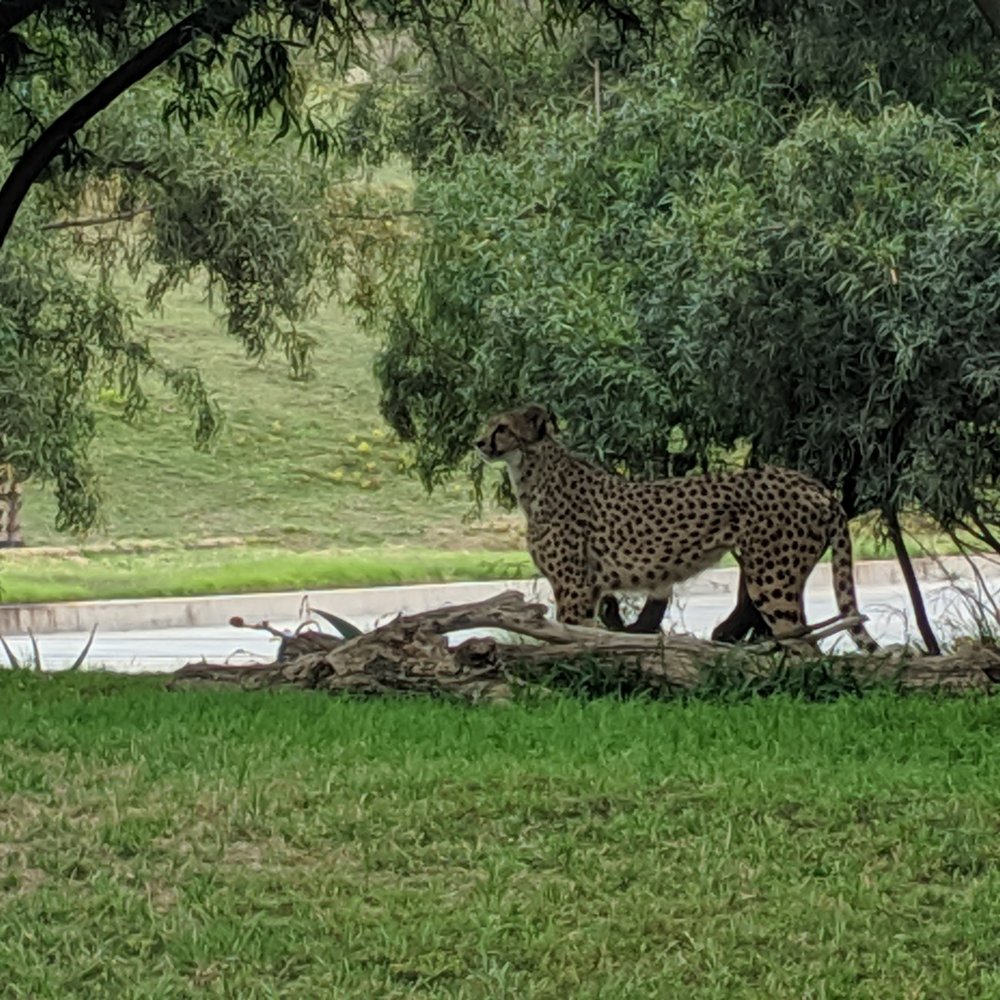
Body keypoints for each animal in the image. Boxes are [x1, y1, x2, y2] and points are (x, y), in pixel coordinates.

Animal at [474, 404, 878, 652]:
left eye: (502, 428)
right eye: (488, 425)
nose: (478, 441)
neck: (534, 472)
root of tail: (812, 483)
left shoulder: (574, 587)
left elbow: (567, 640)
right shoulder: (590, 588)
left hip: (772, 579)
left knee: (805, 648)